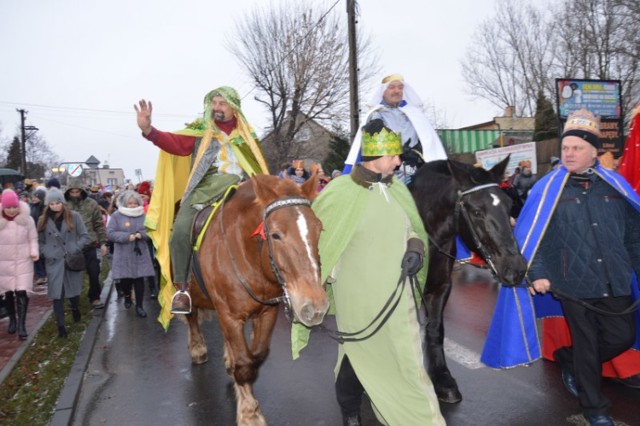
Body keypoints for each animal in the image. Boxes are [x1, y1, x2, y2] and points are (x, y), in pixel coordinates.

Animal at [182, 175, 328, 424]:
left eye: (318, 229)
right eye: (275, 234)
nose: (315, 306)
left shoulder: (266, 312)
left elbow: (256, 356)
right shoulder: (230, 316)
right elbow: (244, 363)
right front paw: (250, 413)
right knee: (191, 316)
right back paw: (198, 347)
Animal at [408, 156, 528, 402]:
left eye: (508, 205)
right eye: (476, 212)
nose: (517, 268)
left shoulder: (440, 288)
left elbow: (435, 330)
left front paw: (442, 379)